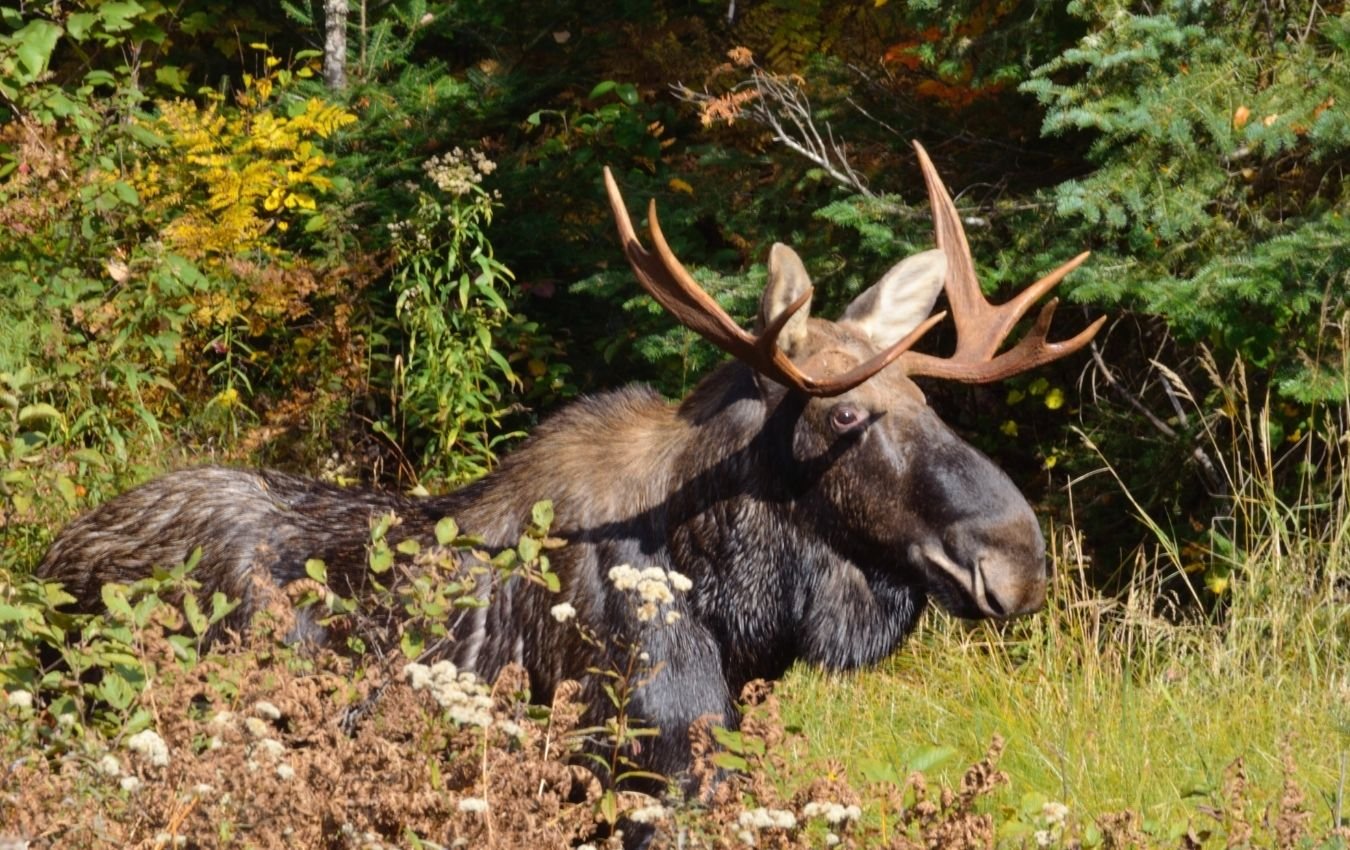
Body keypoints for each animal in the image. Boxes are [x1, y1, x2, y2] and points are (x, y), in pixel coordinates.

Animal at [37, 142, 1104, 782]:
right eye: (845, 414)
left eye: (929, 402)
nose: (1017, 561)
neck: (739, 604)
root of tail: (52, 560)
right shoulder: (643, 755)